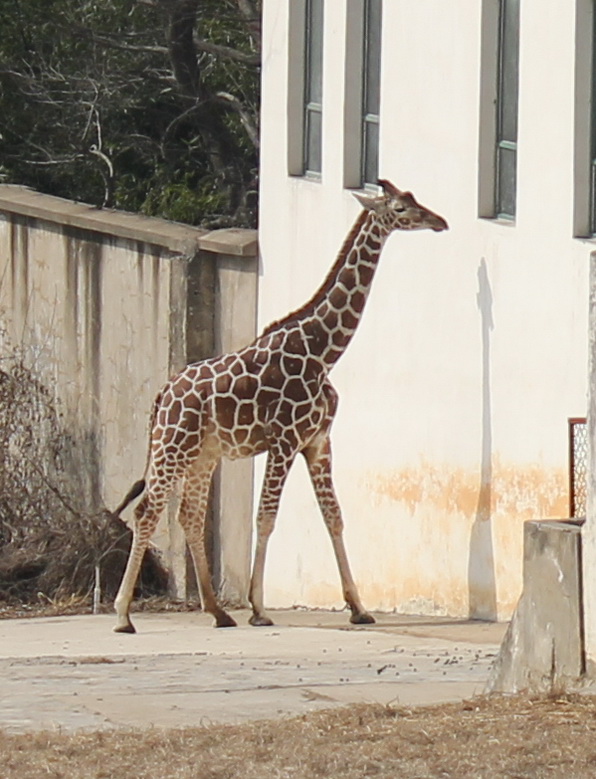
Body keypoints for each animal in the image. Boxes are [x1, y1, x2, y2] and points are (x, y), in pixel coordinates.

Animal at [112, 181, 448, 632]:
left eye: (414, 198)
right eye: (399, 208)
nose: (439, 221)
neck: (323, 353)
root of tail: (163, 392)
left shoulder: (318, 441)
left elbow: (334, 516)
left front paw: (359, 608)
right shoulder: (284, 441)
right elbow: (266, 517)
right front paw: (258, 607)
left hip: (203, 455)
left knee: (189, 515)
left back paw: (218, 612)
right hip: (173, 446)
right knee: (148, 511)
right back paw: (123, 615)